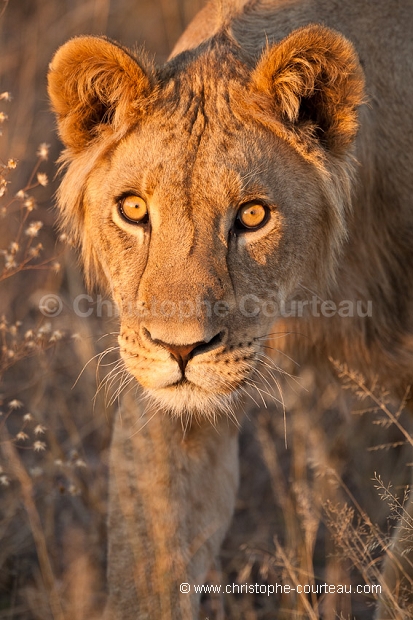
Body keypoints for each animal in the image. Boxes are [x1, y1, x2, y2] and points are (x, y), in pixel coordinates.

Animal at [48, 0, 412, 616]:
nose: (180, 350)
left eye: (253, 215)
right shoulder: (159, 405)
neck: (317, 290)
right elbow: (149, 566)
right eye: (134, 209)